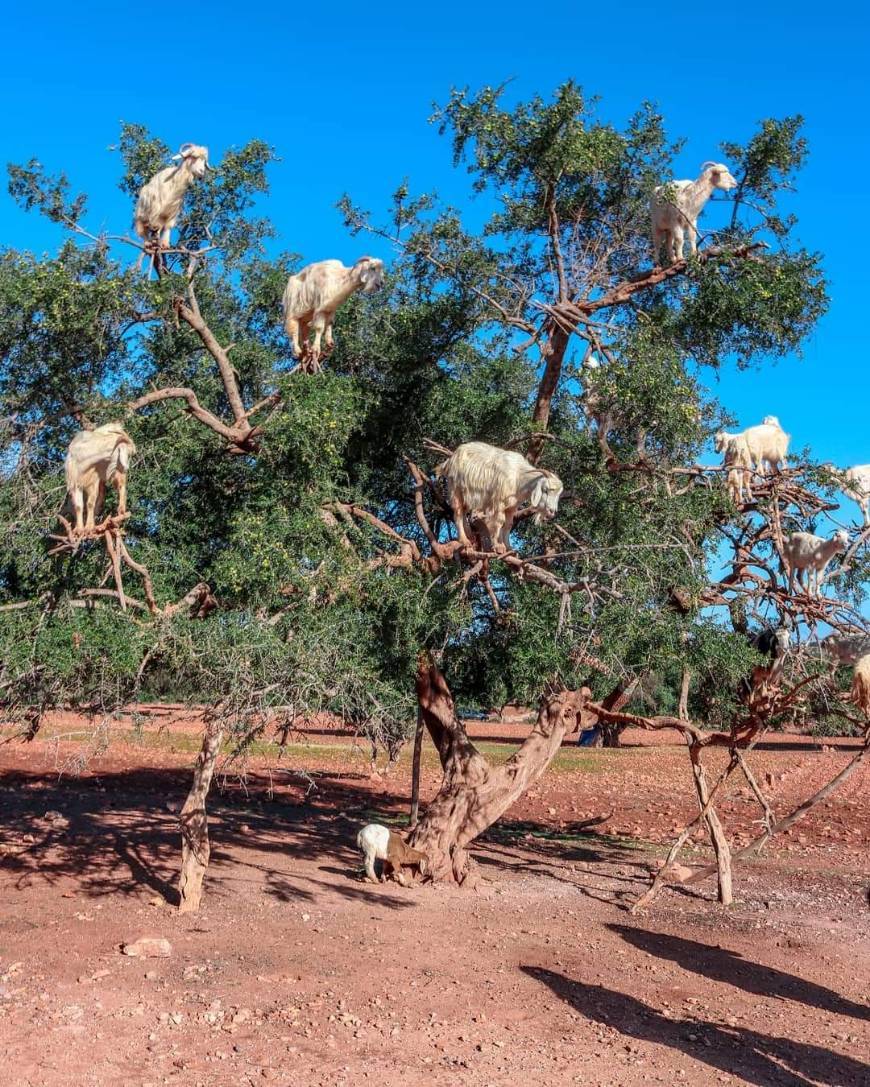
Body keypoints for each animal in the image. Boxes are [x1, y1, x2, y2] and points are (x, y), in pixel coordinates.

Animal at [435, 439, 565, 552]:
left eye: (558, 494)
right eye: (546, 490)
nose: (552, 512)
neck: (518, 476)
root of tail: (450, 460)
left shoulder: (512, 506)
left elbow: (508, 525)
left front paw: (509, 548)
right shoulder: (499, 502)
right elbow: (499, 521)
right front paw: (498, 546)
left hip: (467, 495)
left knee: (463, 512)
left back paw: (470, 536)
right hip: (455, 489)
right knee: (457, 513)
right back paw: (464, 541)